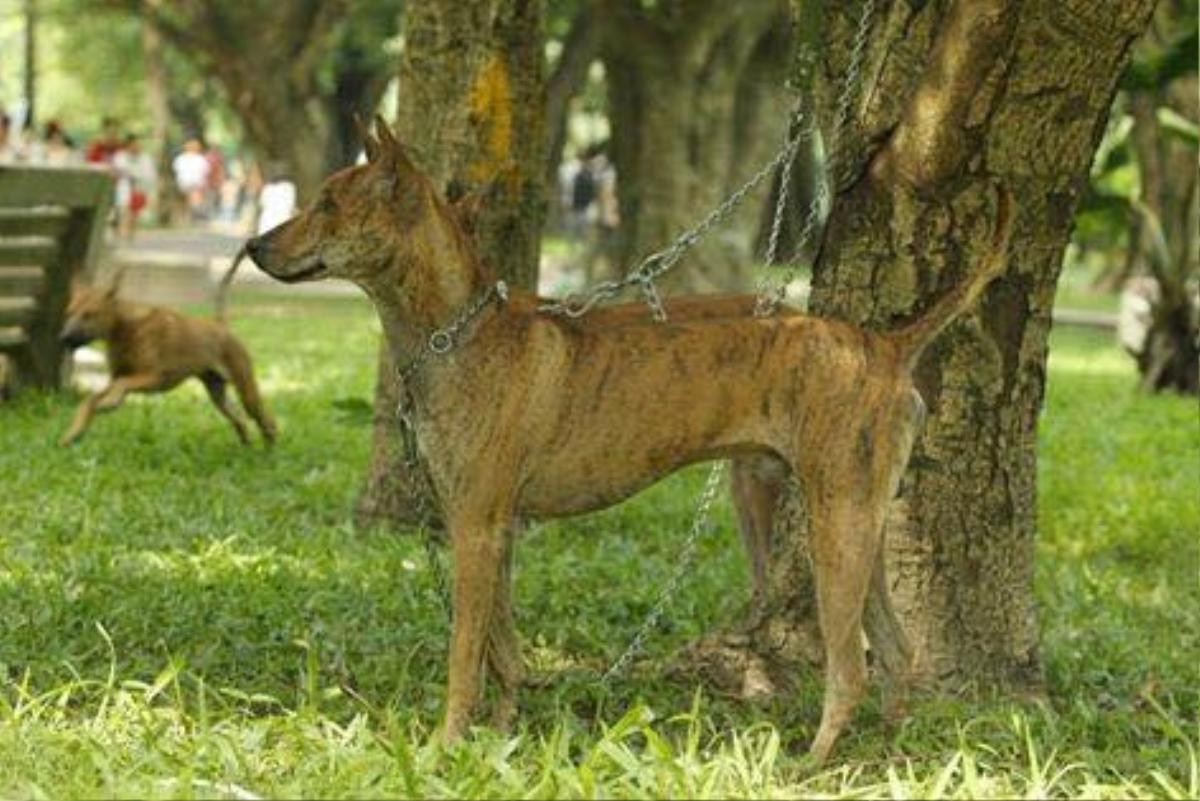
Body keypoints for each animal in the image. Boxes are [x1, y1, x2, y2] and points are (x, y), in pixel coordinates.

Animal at [57, 275, 274, 448]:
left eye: (89, 315)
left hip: (247, 392)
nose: (63, 338)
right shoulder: (117, 378)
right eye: (68, 312)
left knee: (266, 421)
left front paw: (110, 402)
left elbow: (122, 384)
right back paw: (246, 444)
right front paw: (73, 433)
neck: (128, 327)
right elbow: (90, 400)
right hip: (217, 394)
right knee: (240, 420)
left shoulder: (154, 377)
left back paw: (269, 450)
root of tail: (220, 325)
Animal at [243, 117, 1012, 757]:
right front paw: (501, 733)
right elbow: (503, 646)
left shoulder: (474, 527)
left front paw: (445, 743)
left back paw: (812, 766)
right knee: (899, 648)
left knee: (851, 668)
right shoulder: (495, 530)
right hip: (845, 520)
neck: (458, 333)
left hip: (835, 526)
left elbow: (465, 652)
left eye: (329, 204)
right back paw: (885, 750)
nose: (252, 244)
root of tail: (881, 346)